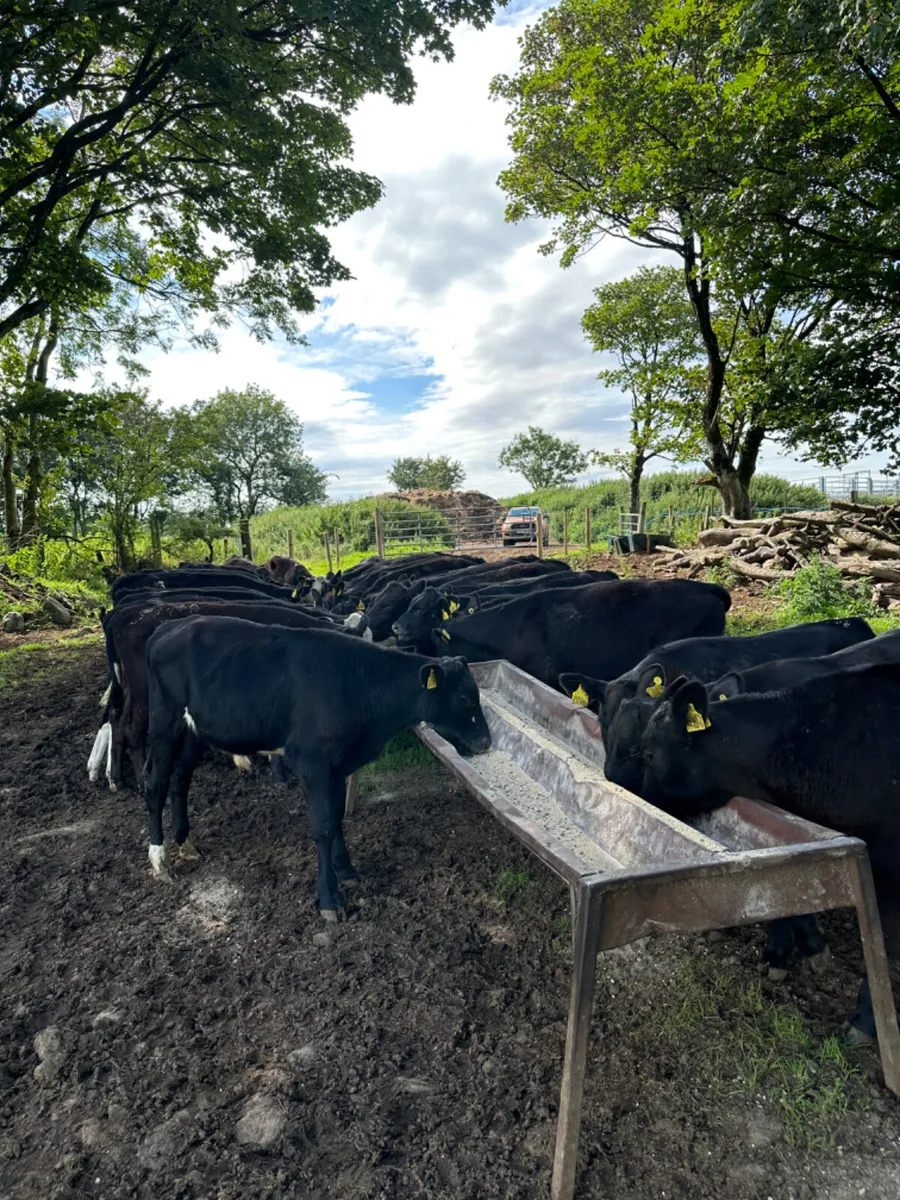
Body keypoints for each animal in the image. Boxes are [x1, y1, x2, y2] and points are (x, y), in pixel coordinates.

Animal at [142, 617, 491, 918]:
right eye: (463, 697)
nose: (486, 742)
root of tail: (170, 626)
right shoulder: (313, 763)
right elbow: (323, 827)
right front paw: (329, 899)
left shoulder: (337, 766)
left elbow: (336, 819)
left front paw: (347, 871)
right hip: (163, 722)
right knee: (155, 784)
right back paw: (160, 860)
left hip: (194, 731)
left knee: (181, 778)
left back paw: (186, 843)